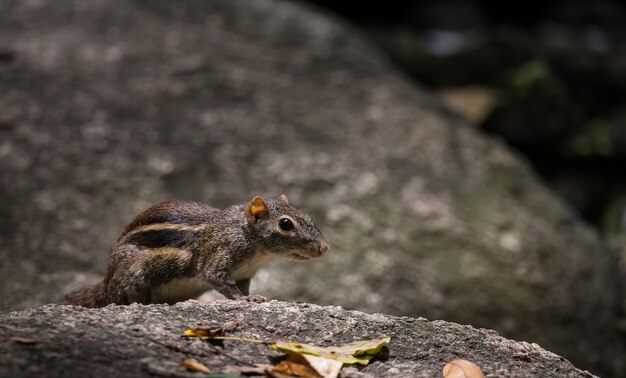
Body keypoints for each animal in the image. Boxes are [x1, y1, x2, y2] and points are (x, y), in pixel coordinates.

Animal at [61, 195, 330, 308]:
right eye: (286, 224)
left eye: (307, 216)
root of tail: (105, 282)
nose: (324, 248)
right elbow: (219, 280)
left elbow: (240, 286)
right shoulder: (217, 255)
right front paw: (246, 300)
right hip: (132, 276)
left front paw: (254, 296)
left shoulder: (245, 274)